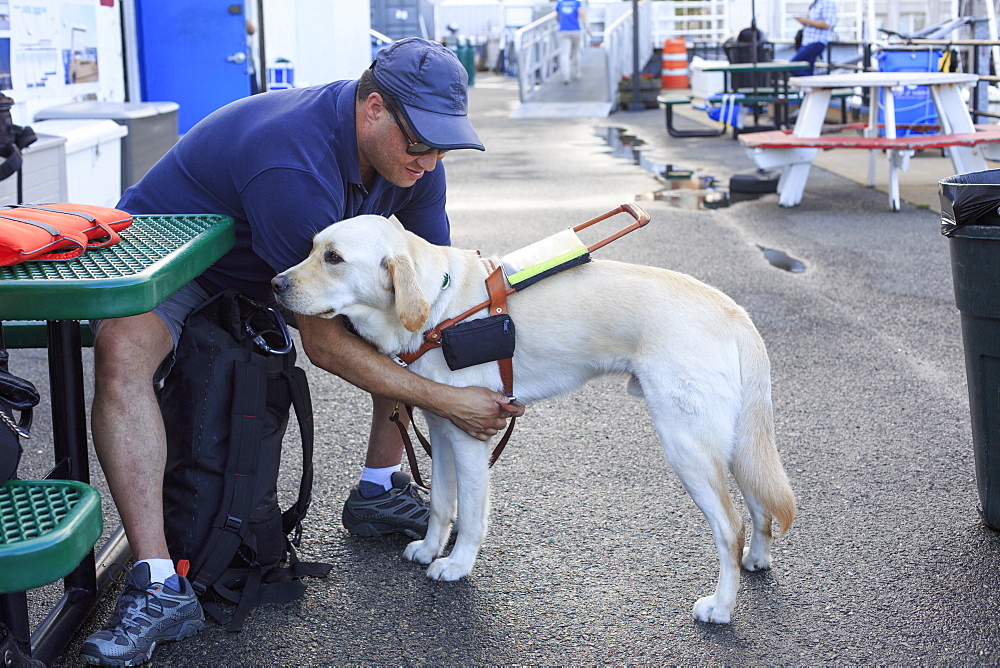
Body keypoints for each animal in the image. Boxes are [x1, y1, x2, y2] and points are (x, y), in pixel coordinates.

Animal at [270, 215, 792, 628]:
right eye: (311, 248)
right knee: (760, 504)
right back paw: (758, 560)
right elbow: (440, 504)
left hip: (686, 445)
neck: (440, 309)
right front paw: (430, 548)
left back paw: (721, 608)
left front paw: (456, 566)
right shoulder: (441, 427)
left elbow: (471, 514)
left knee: (730, 527)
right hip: (734, 443)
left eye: (334, 258)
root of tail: (735, 312)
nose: (274, 283)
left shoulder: (471, 436)